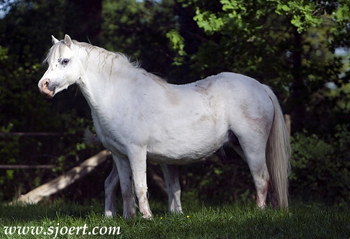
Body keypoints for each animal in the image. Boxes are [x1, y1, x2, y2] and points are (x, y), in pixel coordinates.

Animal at [37, 34, 290, 219]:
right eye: (49, 62)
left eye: (65, 61)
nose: (44, 86)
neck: (120, 95)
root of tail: (261, 87)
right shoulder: (119, 155)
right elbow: (126, 188)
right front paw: (128, 219)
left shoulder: (136, 151)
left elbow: (140, 186)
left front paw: (146, 218)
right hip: (240, 145)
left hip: (251, 145)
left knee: (261, 178)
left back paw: (259, 212)